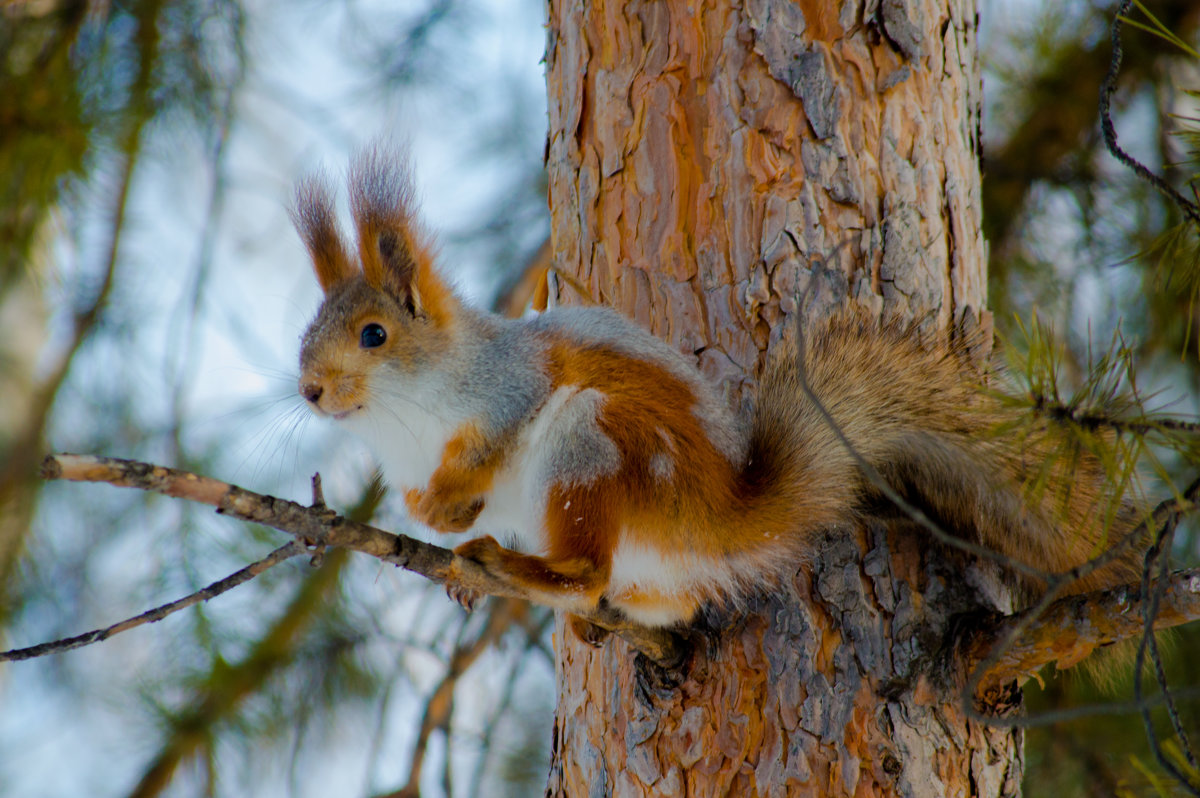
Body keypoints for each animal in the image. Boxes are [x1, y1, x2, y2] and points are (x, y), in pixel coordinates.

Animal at [290, 147, 1132, 633]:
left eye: (374, 335)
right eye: (308, 328)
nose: (310, 391)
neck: (404, 423)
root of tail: (714, 520)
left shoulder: (510, 389)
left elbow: (492, 440)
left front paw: (449, 504)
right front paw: (434, 510)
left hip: (590, 444)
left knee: (586, 572)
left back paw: (516, 567)